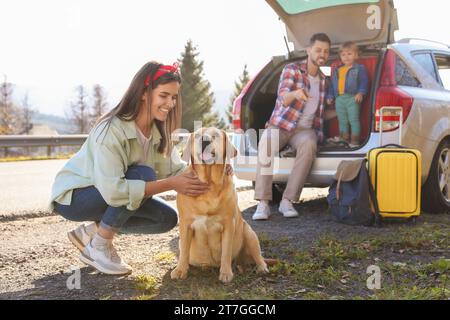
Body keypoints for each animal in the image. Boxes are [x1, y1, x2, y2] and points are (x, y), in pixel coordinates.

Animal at [169, 127, 268, 282]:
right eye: (198, 135)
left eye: (215, 135)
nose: (205, 140)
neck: (209, 185)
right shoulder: (185, 224)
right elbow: (184, 249)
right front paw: (180, 270)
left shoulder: (228, 225)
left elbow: (226, 252)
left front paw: (226, 273)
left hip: (249, 233)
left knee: (259, 256)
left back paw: (262, 267)